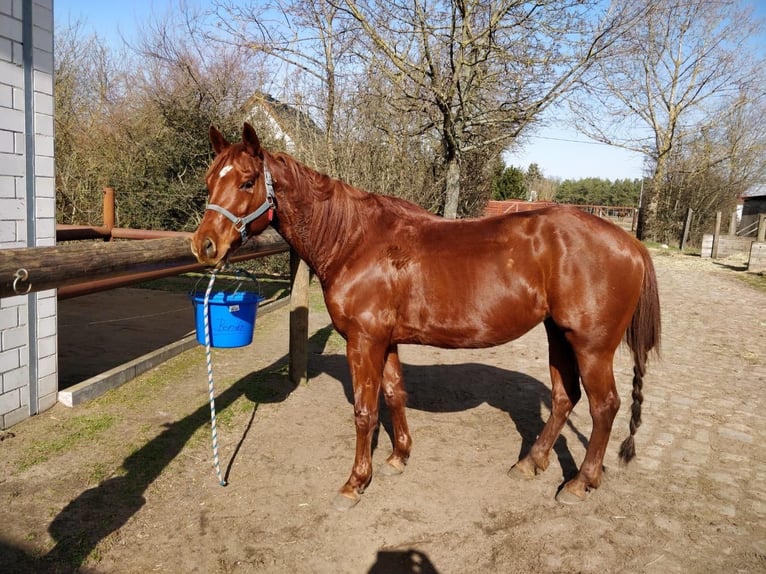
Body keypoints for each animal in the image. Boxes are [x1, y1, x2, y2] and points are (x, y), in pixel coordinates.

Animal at [191, 123, 661, 508]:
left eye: (247, 181)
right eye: (210, 180)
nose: (205, 245)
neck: (354, 241)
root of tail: (630, 244)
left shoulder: (363, 341)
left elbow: (364, 411)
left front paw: (355, 482)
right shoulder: (386, 341)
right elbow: (394, 394)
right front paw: (399, 457)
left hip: (592, 346)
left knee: (605, 406)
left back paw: (580, 483)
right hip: (558, 335)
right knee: (566, 398)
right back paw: (531, 463)